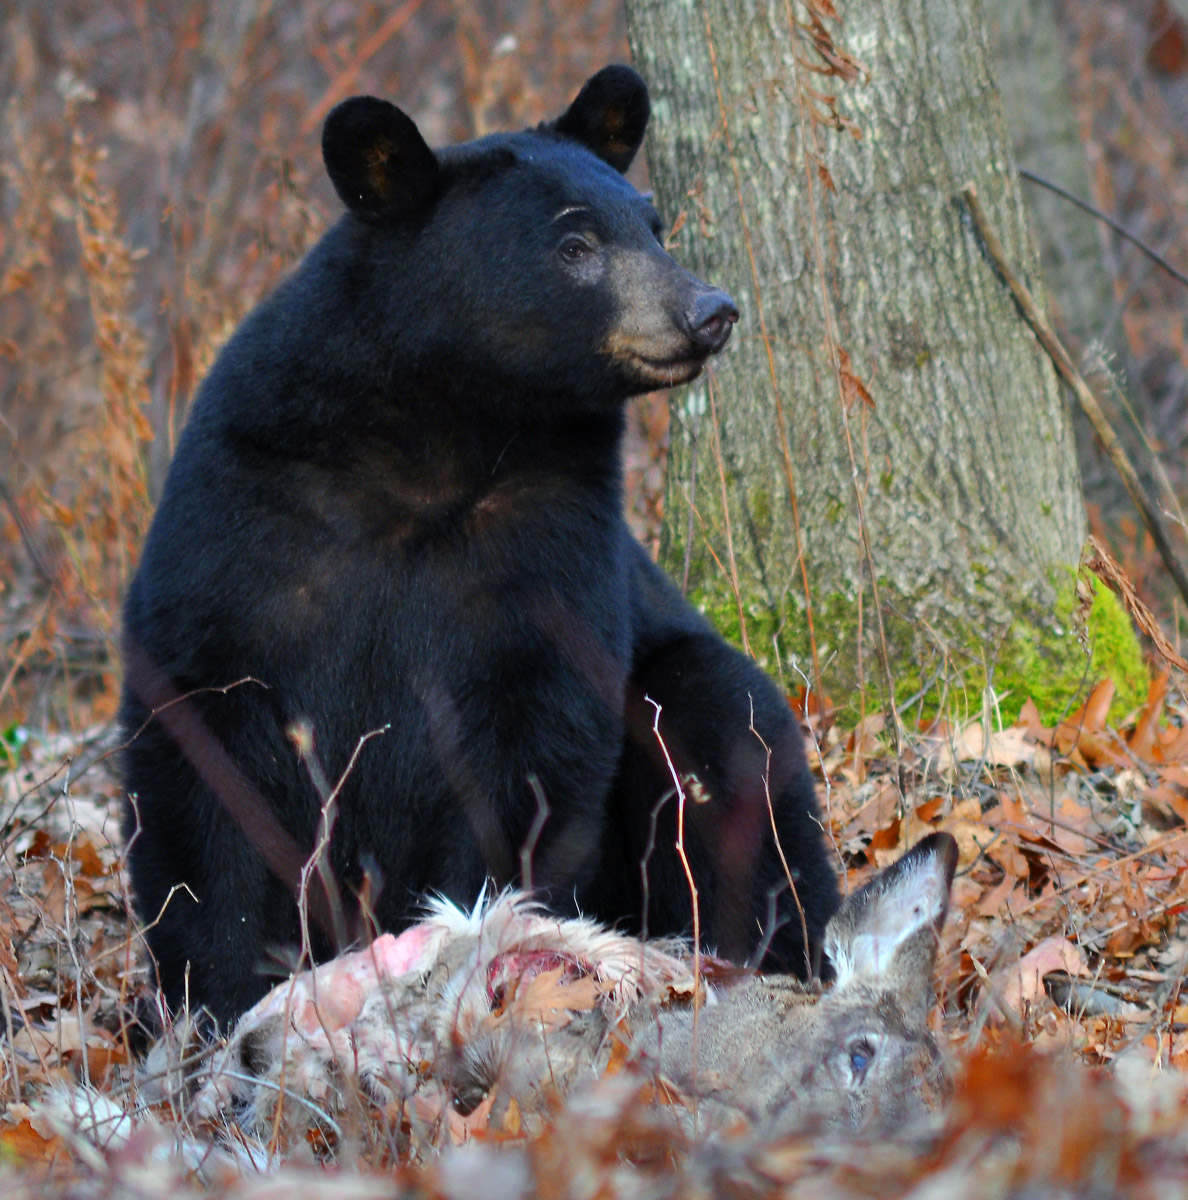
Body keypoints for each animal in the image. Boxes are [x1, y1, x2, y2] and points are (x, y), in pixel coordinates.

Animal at [120, 64, 839, 1029]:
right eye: (574, 244)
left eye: (651, 225)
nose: (710, 311)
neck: (441, 430)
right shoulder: (245, 522)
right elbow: (201, 749)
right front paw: (214, 997)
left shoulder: (546, 535)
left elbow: (529, 739)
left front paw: (467, 932)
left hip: (688, 688)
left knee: (736, 760)